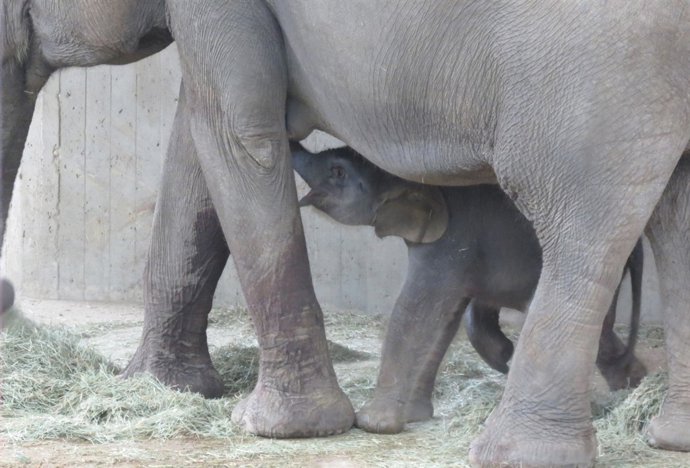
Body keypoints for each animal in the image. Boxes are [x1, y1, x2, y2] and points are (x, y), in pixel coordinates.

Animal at [291, 142, 647, 431]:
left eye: (337, 171)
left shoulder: (450, 241)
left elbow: (416, 308)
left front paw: (374, 424)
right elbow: (447, 318)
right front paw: (416, 416)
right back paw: (633, 387)